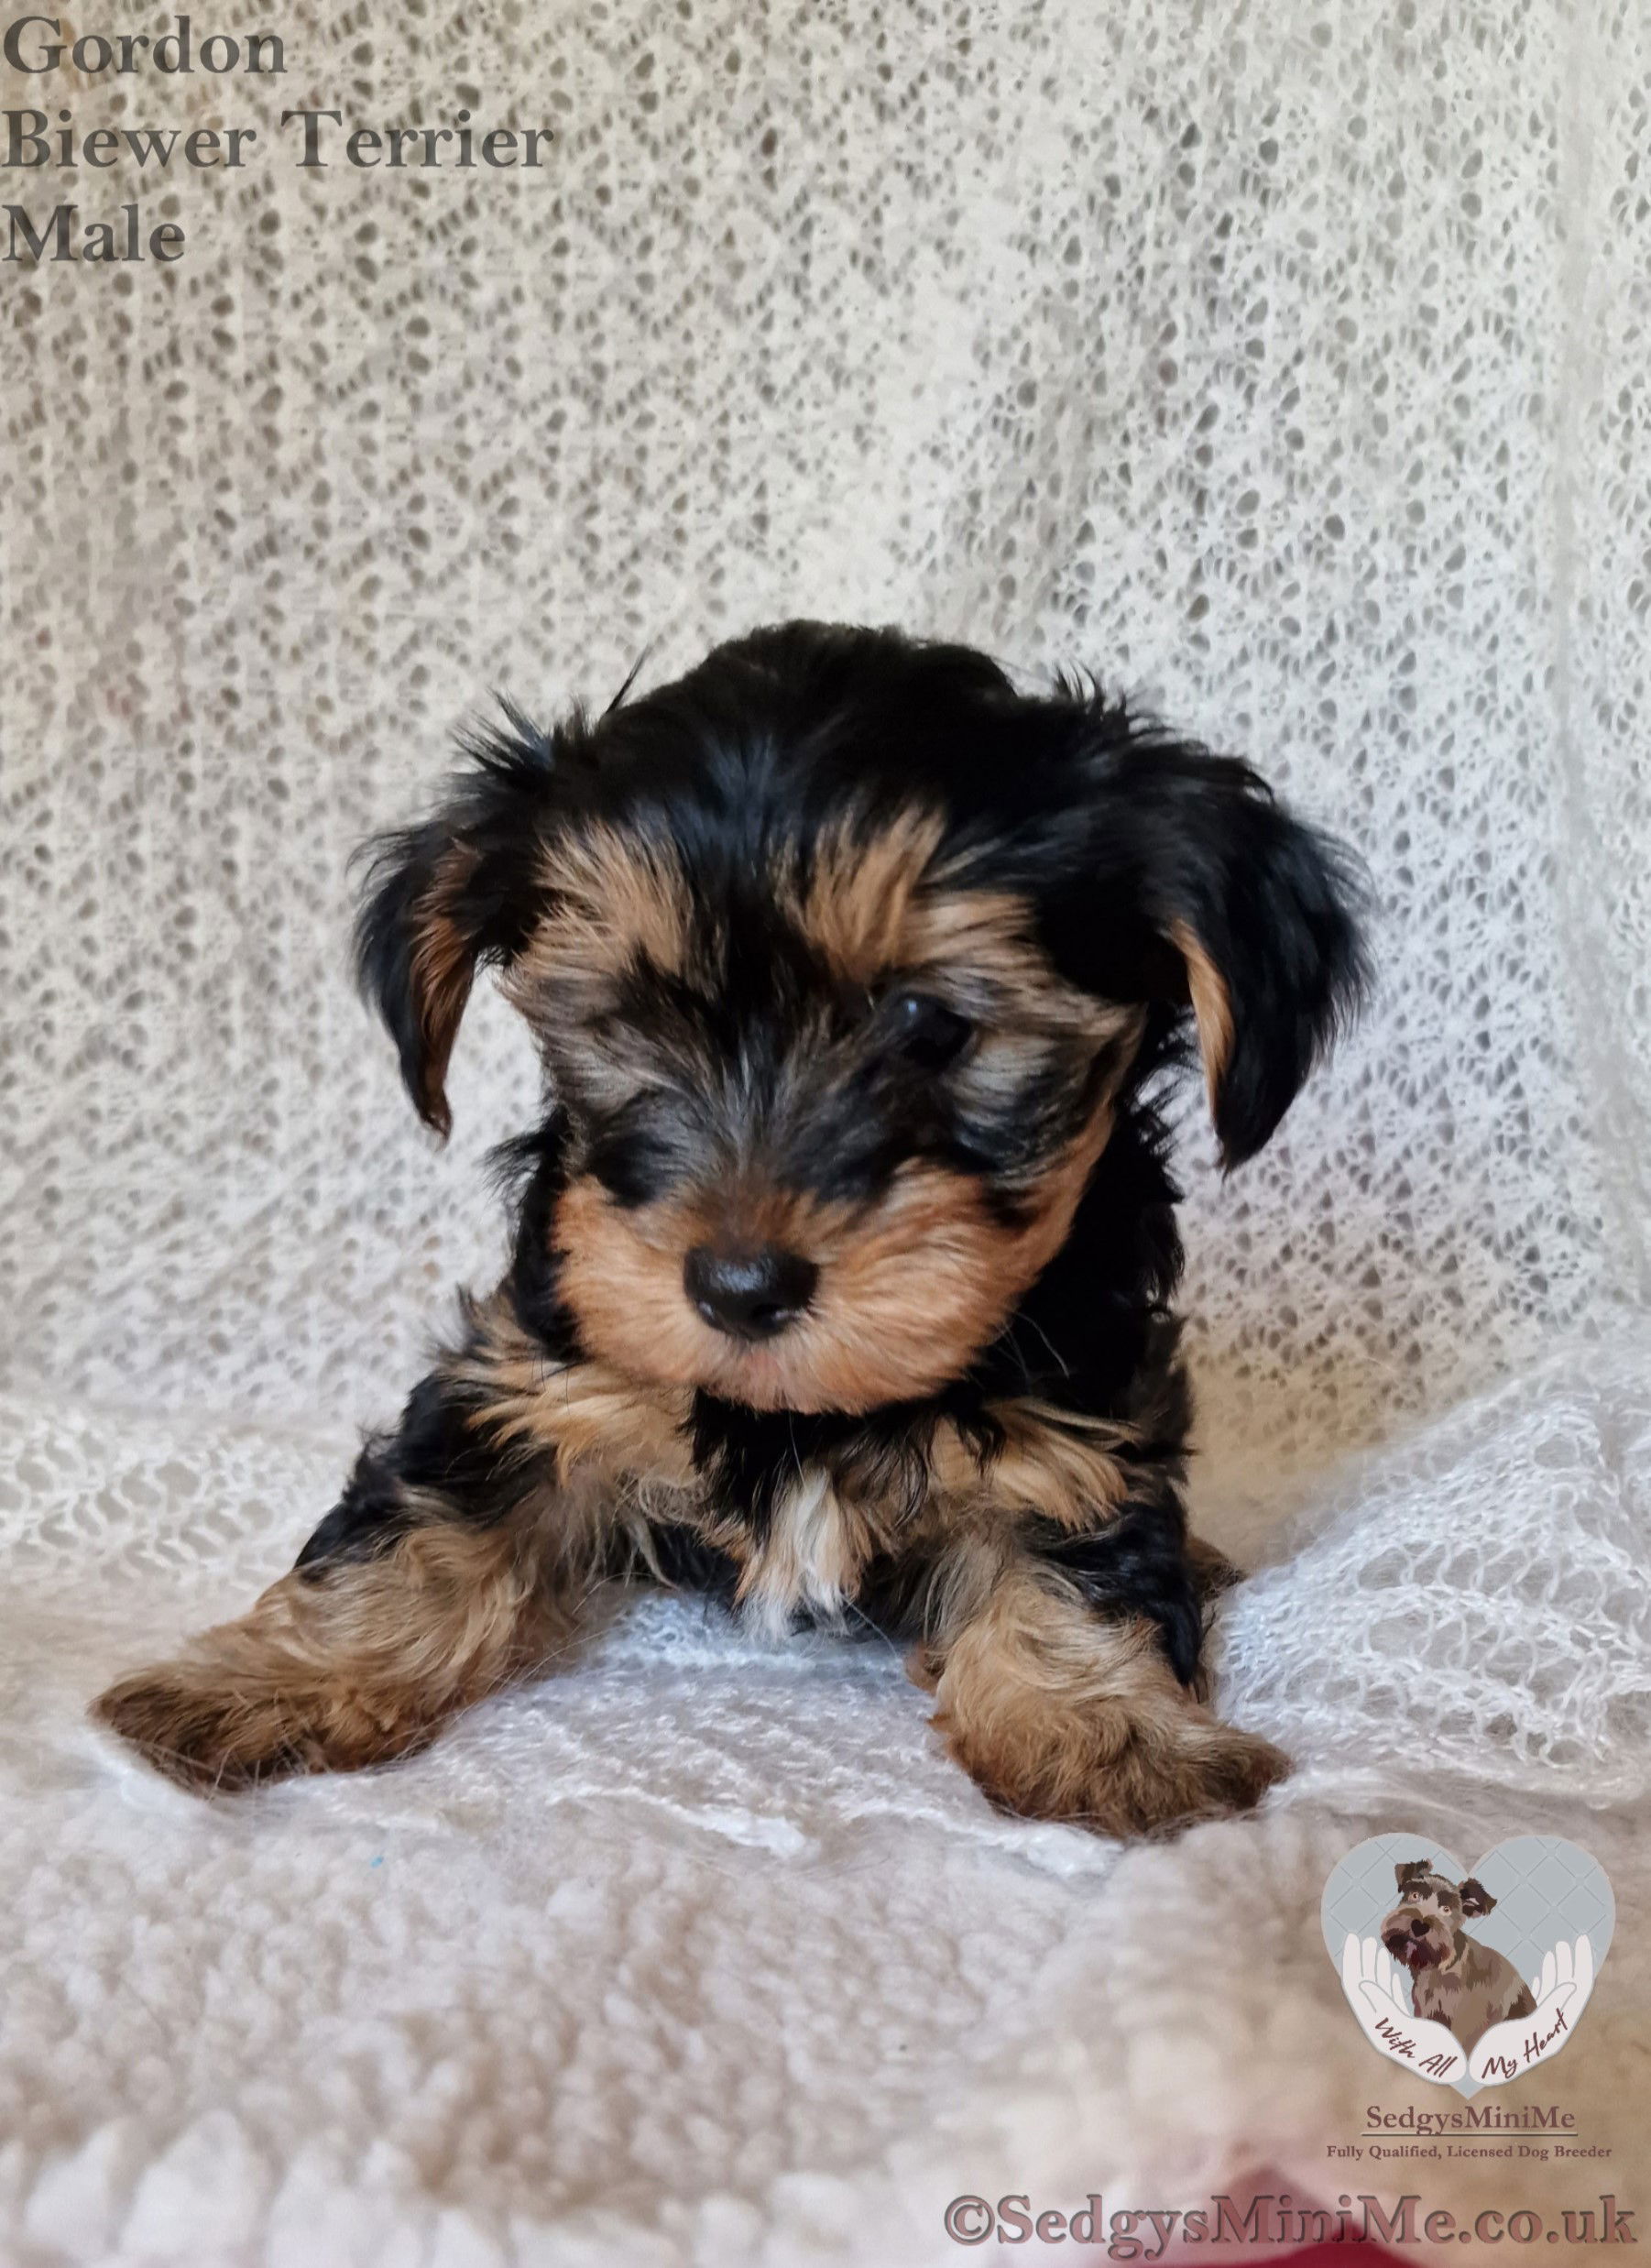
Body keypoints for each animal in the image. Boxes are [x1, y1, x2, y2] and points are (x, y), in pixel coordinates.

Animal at [99, 626, 1370, 1841]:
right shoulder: (532, 1370)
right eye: (628, 1020)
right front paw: (266, 1682)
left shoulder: (1082, 1407)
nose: (739, 1284)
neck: (801, 1412)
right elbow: (420, 1519)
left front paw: (1105, 1732)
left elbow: (1077, 1542)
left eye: (930, 1026)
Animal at [1378, 1859, 1533, 2059]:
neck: (1438, 1968)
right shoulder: (1427, 2012)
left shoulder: (1466, 2025)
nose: (1419, 1926)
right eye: (1414, 1895)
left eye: (1446, 1910)